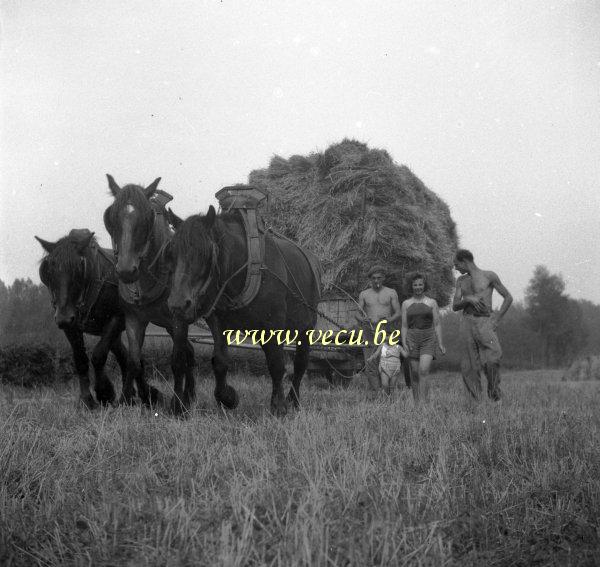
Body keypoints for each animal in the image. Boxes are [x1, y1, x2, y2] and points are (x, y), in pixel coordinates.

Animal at [35, 227, 126, 408]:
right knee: (126, 357)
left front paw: (105, 393)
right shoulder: (71, 325)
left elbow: (98, 355)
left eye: (79, 269)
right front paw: (87, 400)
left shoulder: (117, 318)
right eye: (47, 272)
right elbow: (81, 360)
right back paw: (131, 396)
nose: (62, 318)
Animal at [101, 174, 195, 412]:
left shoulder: (179, 320)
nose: (126, 271)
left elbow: (176, 361)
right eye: (110, 218)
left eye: (148, 217)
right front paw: (124, 401)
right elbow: (134, 361)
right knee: (190, 352)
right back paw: (191, 395)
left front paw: (177, 406)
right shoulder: (134, 319)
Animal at [164, 205, 324, 418]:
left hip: (306, 326)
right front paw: (227, 397)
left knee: (300, 364)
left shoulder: (273, 325)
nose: (178, 305)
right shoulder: (218, 321)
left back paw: (294, 400)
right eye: (171, 253)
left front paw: (279, 406)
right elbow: (220, 361)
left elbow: (276, 364)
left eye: (204, 253)